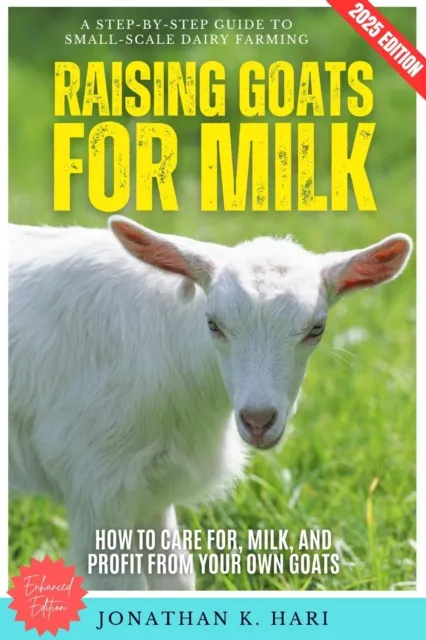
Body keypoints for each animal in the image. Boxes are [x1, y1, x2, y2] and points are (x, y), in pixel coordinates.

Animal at [8, 216, 413, 590]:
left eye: (317, 329)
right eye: (213, 324)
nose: (258, 420)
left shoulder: (151, 488)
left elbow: (175, 576)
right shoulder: (95, 480)